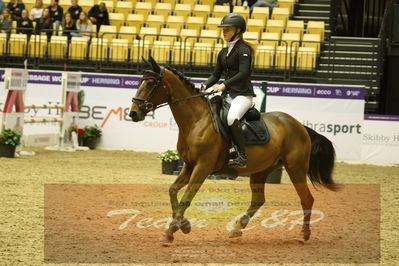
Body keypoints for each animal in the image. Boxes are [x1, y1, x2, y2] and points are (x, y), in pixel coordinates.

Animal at [130, 56, 340, 243]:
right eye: (140, 81)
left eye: (151, 83)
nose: (133, 113)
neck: (196, 121)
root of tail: (299, 126)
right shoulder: (189, 165)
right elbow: (173, 190)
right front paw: (184, 225)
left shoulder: (202, 167)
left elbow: (187, 197)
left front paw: (171, 231)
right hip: (262, 170)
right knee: (258, 200)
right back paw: (237, 229)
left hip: (295, 168)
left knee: (307, 199)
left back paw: (305, 234)